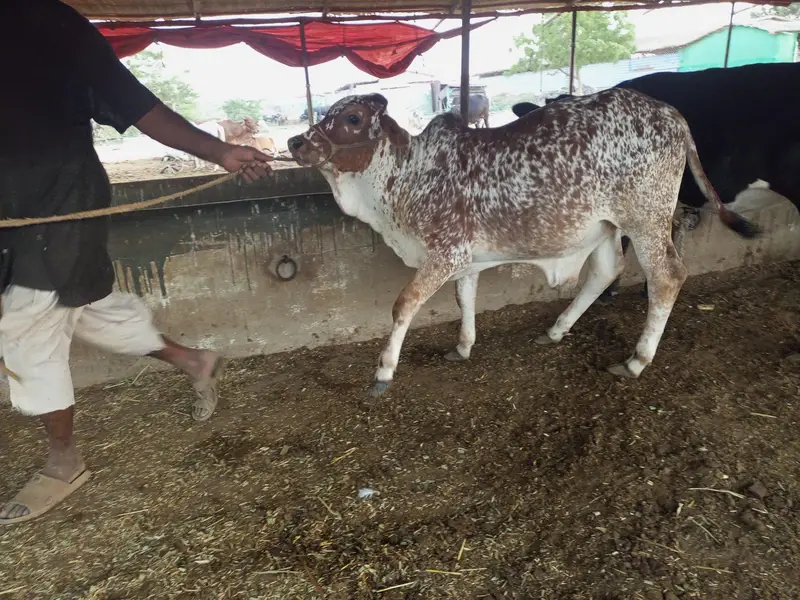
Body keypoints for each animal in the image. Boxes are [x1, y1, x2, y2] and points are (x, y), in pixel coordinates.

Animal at [287, 90, 759, 397]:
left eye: (352, 119)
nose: (295, 141)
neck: (406, 175)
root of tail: (671, 113)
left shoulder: (445, 251)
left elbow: (404, 304)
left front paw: (384, 370)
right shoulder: (465, 257)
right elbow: (464, 297)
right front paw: (463, 346)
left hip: (646, 219)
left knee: (667, 277)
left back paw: (636, 360)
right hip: (604, 226)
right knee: (605, 272)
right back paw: (556, 330)